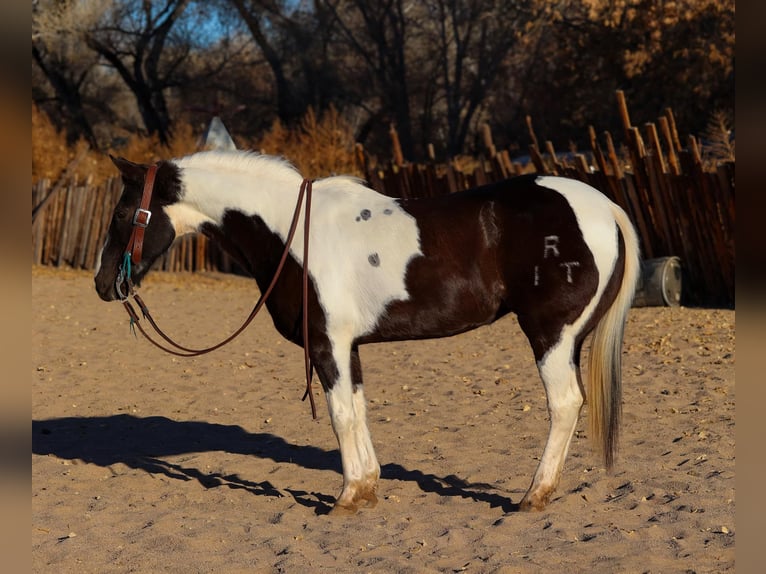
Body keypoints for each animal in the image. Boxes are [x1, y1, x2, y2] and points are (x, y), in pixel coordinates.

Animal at [94, 151, 640, 516]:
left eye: (122, 214)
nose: (104, 284)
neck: (291, 234)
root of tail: (603, 207)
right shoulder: (346, 348)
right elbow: (356, 409)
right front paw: (368, 486)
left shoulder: (327, 346)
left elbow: (339, 415)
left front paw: (347, 497)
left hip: (551, 336)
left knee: (565, 404)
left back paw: (534, 495)